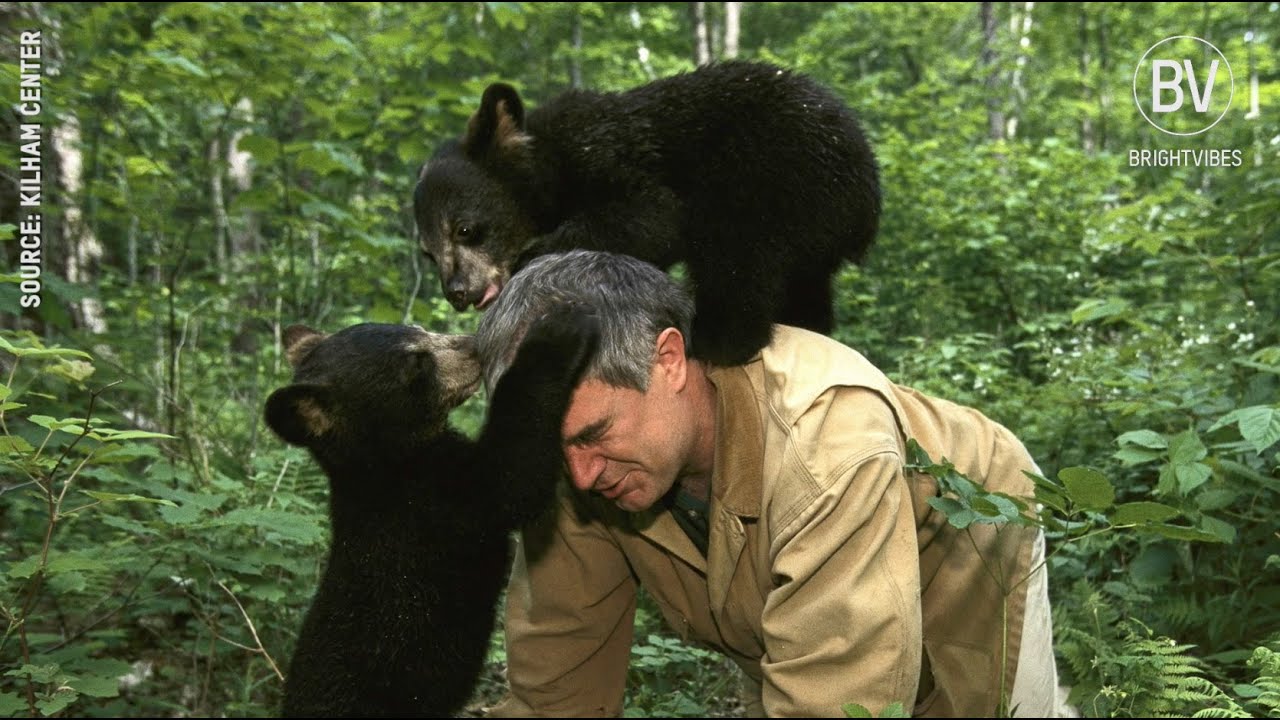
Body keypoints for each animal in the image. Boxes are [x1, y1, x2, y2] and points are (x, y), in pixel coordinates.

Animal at [263, 313, 597, 717]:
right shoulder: (433, 508)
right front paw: (554, 332)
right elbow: (513, 478)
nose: (474, 344)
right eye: (416, 361)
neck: (393, 464)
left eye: (417, 329)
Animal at [413, 60, 880, 366]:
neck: (552, 165)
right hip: (810, 234)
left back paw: (714, 341)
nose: (457, 291)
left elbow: (653, 214)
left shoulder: (607, 153)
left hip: (767, 179)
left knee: (735, 256)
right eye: (428, 253)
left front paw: (533, 258)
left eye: (466, 229)